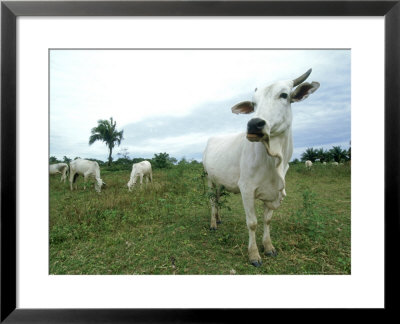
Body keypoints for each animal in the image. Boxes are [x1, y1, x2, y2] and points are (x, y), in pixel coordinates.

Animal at [203, 67, 318, 266]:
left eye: (284, 95)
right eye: (253, 104)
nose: (254, 124)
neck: (273, 160)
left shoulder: (273, 192)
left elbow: (267, 220)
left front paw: (269, 246)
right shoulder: (246, 189)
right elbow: (252, 223)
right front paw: (254, 254)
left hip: (221, 182)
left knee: (217, 199)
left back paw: (218, 219)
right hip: (209, 178)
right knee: (212, 201)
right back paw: (212, 224)